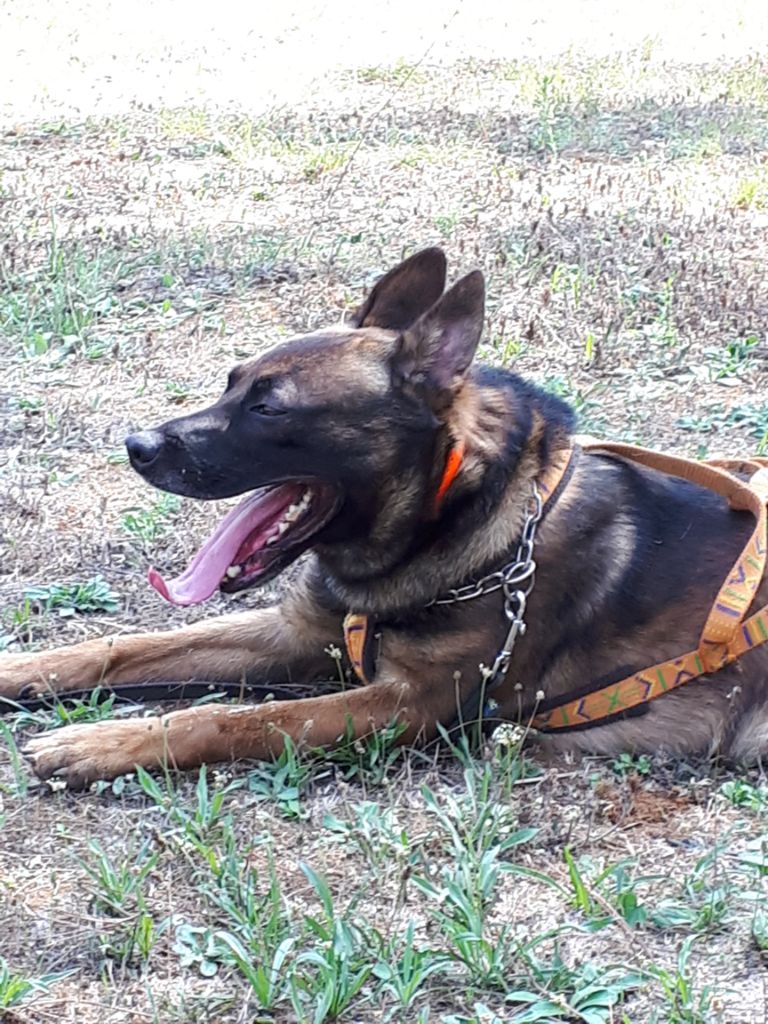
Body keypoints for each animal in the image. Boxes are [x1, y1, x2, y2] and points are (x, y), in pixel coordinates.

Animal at [3, 247, 768, 788]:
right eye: (230, 382)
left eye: (268, 408)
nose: (137, 447)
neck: (450, 518)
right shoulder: (299, 632)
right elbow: (120, 647)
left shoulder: (405, 705)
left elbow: (230, 719)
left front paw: (100, 742)